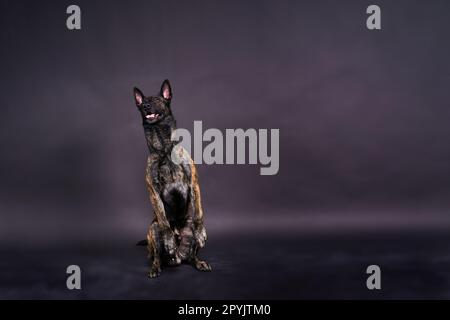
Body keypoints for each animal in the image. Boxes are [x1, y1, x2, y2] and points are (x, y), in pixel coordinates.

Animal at [133, 80, 212, 278]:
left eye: (156, 100)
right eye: (142, 102)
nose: (145, 106)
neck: (164, 149)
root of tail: (177, 258)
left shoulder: (193, 183)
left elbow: (199, 212)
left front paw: (201, 232)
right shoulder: (153, 191)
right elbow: (163, 218)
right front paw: (168, 239)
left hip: (189, 232)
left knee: (191, 256)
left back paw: (199, 262)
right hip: (153, 230)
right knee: (156, 256)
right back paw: (156, 266)